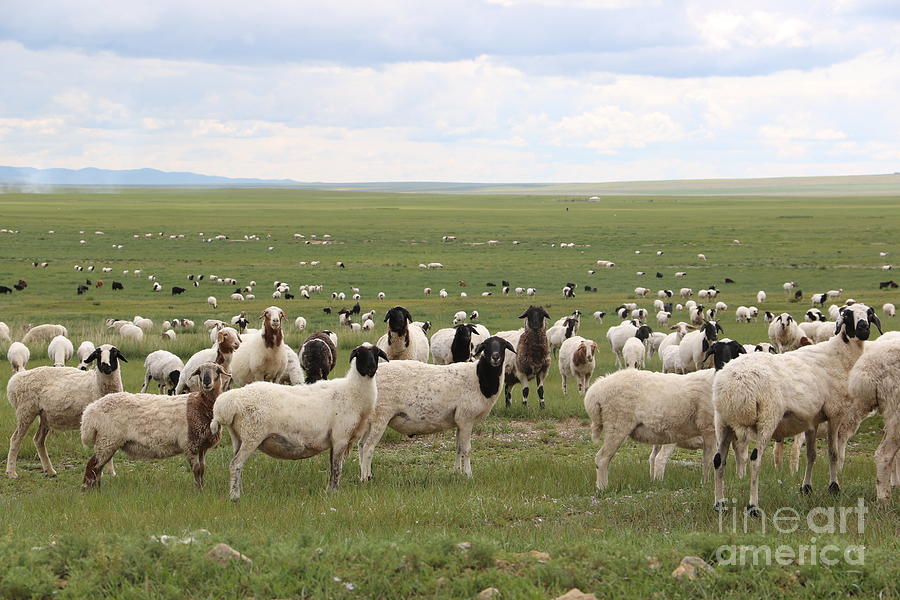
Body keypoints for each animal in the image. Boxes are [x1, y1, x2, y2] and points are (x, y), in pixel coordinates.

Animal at [6, 346, 126, 478]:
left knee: (38, 440)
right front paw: (104, 472)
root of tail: (15, 380)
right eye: (97, 354)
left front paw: (111, 473)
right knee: (15, 439)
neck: (96, 384)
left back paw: (50, 470)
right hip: (26, 410)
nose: (105, 366)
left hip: (44, 415)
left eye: (114, 353)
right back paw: (11, 472)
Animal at [80, 360, 232, 488]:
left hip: (107, 440)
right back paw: (88, 490)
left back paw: (97, 489)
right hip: (108, 438)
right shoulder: (191, 444)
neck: (201, 405)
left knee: (98, 468)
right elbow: (197, 470)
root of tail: (90, 411)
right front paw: (198, 491)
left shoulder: (202, 446)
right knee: (92, 466)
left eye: (217, 371)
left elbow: (202, 469)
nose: (207, 382)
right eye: (200, 371)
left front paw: (201, 488)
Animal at [214, 342, 390, 496]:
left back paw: (239, 491)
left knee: (237, 465)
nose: (371, 368)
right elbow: (337, 468)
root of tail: (230, 402)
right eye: (360, 354)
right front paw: (334, 492)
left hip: (238, 438)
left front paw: (329, 490)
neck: (351, 392)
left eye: (376, 354)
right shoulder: (340, 437)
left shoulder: (334, 439)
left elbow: (332, 466)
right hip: (252, 435)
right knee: (235, 464)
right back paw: (235, 497)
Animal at [356, 336, 512, 480]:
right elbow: (466, 449)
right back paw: (365, 479)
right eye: (486, 346)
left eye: (503, 345)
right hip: (381, 415)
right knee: (369, 447)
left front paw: (456, 473)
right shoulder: (466, 419)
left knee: (361, 445)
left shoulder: (459, 421)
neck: (480, 378)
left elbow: (458, 448)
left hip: (370, 419)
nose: (495, 357)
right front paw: (468, 475)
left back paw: (366, 475)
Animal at [712, 304, 884, 516]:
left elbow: (811, 454)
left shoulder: (812, 420)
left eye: (868, 314)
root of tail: (734, 385)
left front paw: (806, 488)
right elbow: (833, 453)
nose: (863, 329)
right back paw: (753, 507)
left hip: (722, 421)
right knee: (755, 460)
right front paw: (834, 487)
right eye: (849, 316)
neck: (839, 356)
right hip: (767, 418)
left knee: (719, 461)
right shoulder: (835, 413)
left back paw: (719, 504)